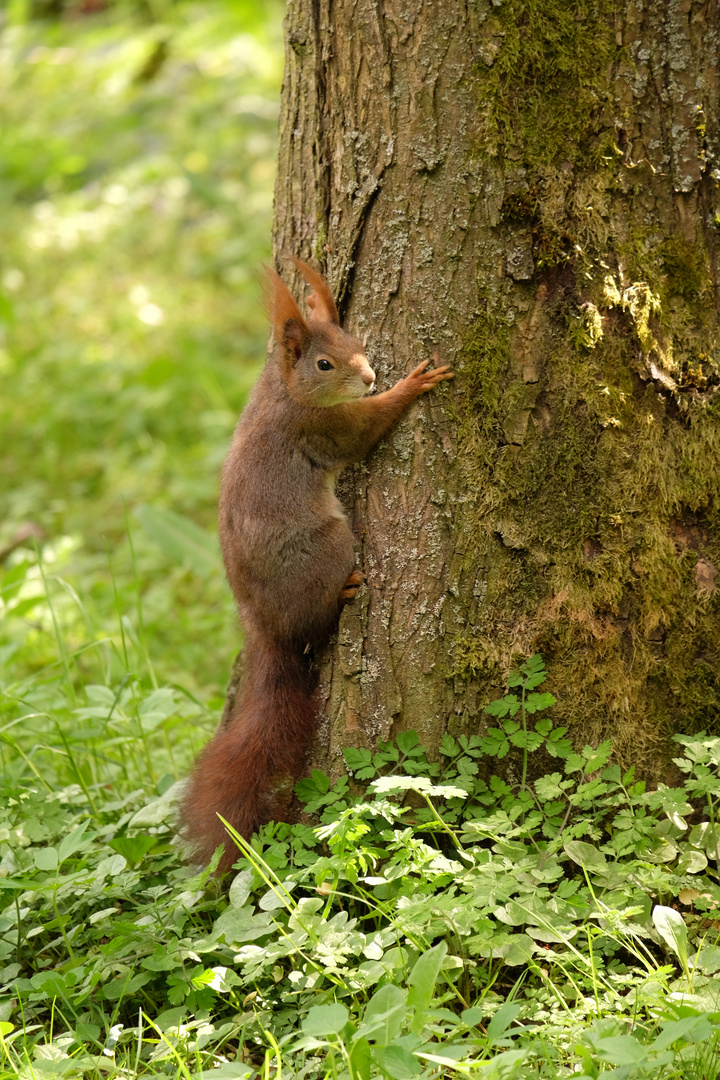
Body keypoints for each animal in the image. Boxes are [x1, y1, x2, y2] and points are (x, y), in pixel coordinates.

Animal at [179, 257, 451, 872]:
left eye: (358, 342)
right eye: (324, 363)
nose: (370, 377)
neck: (279, 390)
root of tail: (267, 629)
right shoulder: (319, 427)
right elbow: (363, 430)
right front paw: (411, 385)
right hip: (328, 544)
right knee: (320, 621)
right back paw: (345, 593)